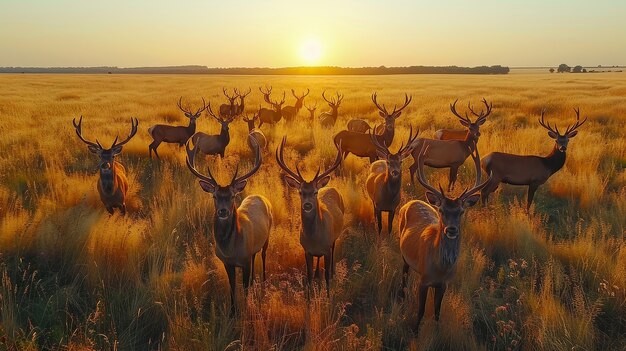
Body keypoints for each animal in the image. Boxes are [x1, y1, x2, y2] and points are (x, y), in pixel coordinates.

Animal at [184, 136, 270, 318]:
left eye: (232, 195)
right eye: (214, 196)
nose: (223, 211)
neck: (231, 250)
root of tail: (258, 195)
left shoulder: (244, 261)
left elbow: (244, 288)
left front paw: (246, 309)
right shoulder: (227, 262)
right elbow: (232, 288)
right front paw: (232, 312)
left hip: (267, 237)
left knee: (264, 256)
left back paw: (264, 281)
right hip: (253, 249)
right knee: (255, 257)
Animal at [276, 138, 344, 296]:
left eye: (315, 192)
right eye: (300, 192)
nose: (307, 205)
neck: (315, 238)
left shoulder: (326, 249)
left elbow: (326, 277)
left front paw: (328, 296)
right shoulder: (306, 250)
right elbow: (309, 276)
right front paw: (309, 297)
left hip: (334, 239)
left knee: (333, 251)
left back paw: (332, 272)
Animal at [400, 142, 488, 330]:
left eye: (461, 211)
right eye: (441, 210)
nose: (451, 230)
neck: (440, 269)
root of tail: (412, 201)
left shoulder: (444, 284)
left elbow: (437, 313)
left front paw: (436, 330)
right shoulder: (424, 280)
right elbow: (420, 311)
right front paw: (415, 331)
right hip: (403, 254)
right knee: (404, 274)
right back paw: (402, 295)